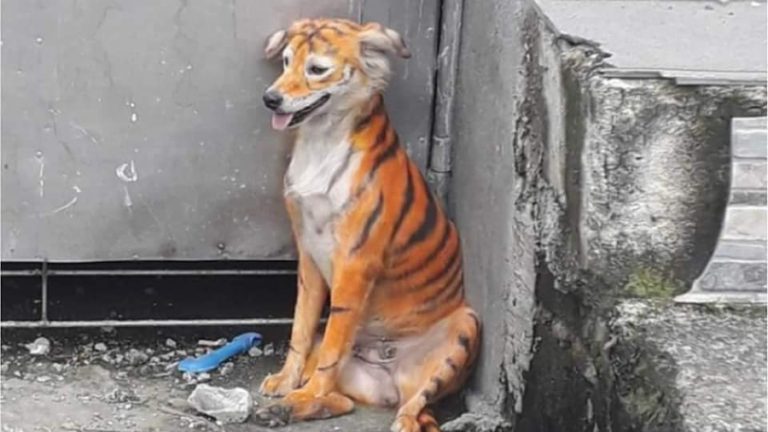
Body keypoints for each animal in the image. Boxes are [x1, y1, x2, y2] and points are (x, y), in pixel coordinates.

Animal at [254, 18, 481, 432]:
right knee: (342, 401)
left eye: (317, 69)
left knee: (414, 408)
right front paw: (286, 382)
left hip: (465, 327)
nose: (270, 99)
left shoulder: (355, 262)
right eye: (286, 61)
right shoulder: (308, 255)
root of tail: (391, 376)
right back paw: (286, 409)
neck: (321, 140)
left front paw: (304, 391)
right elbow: (301, 328)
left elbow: (332, 345)